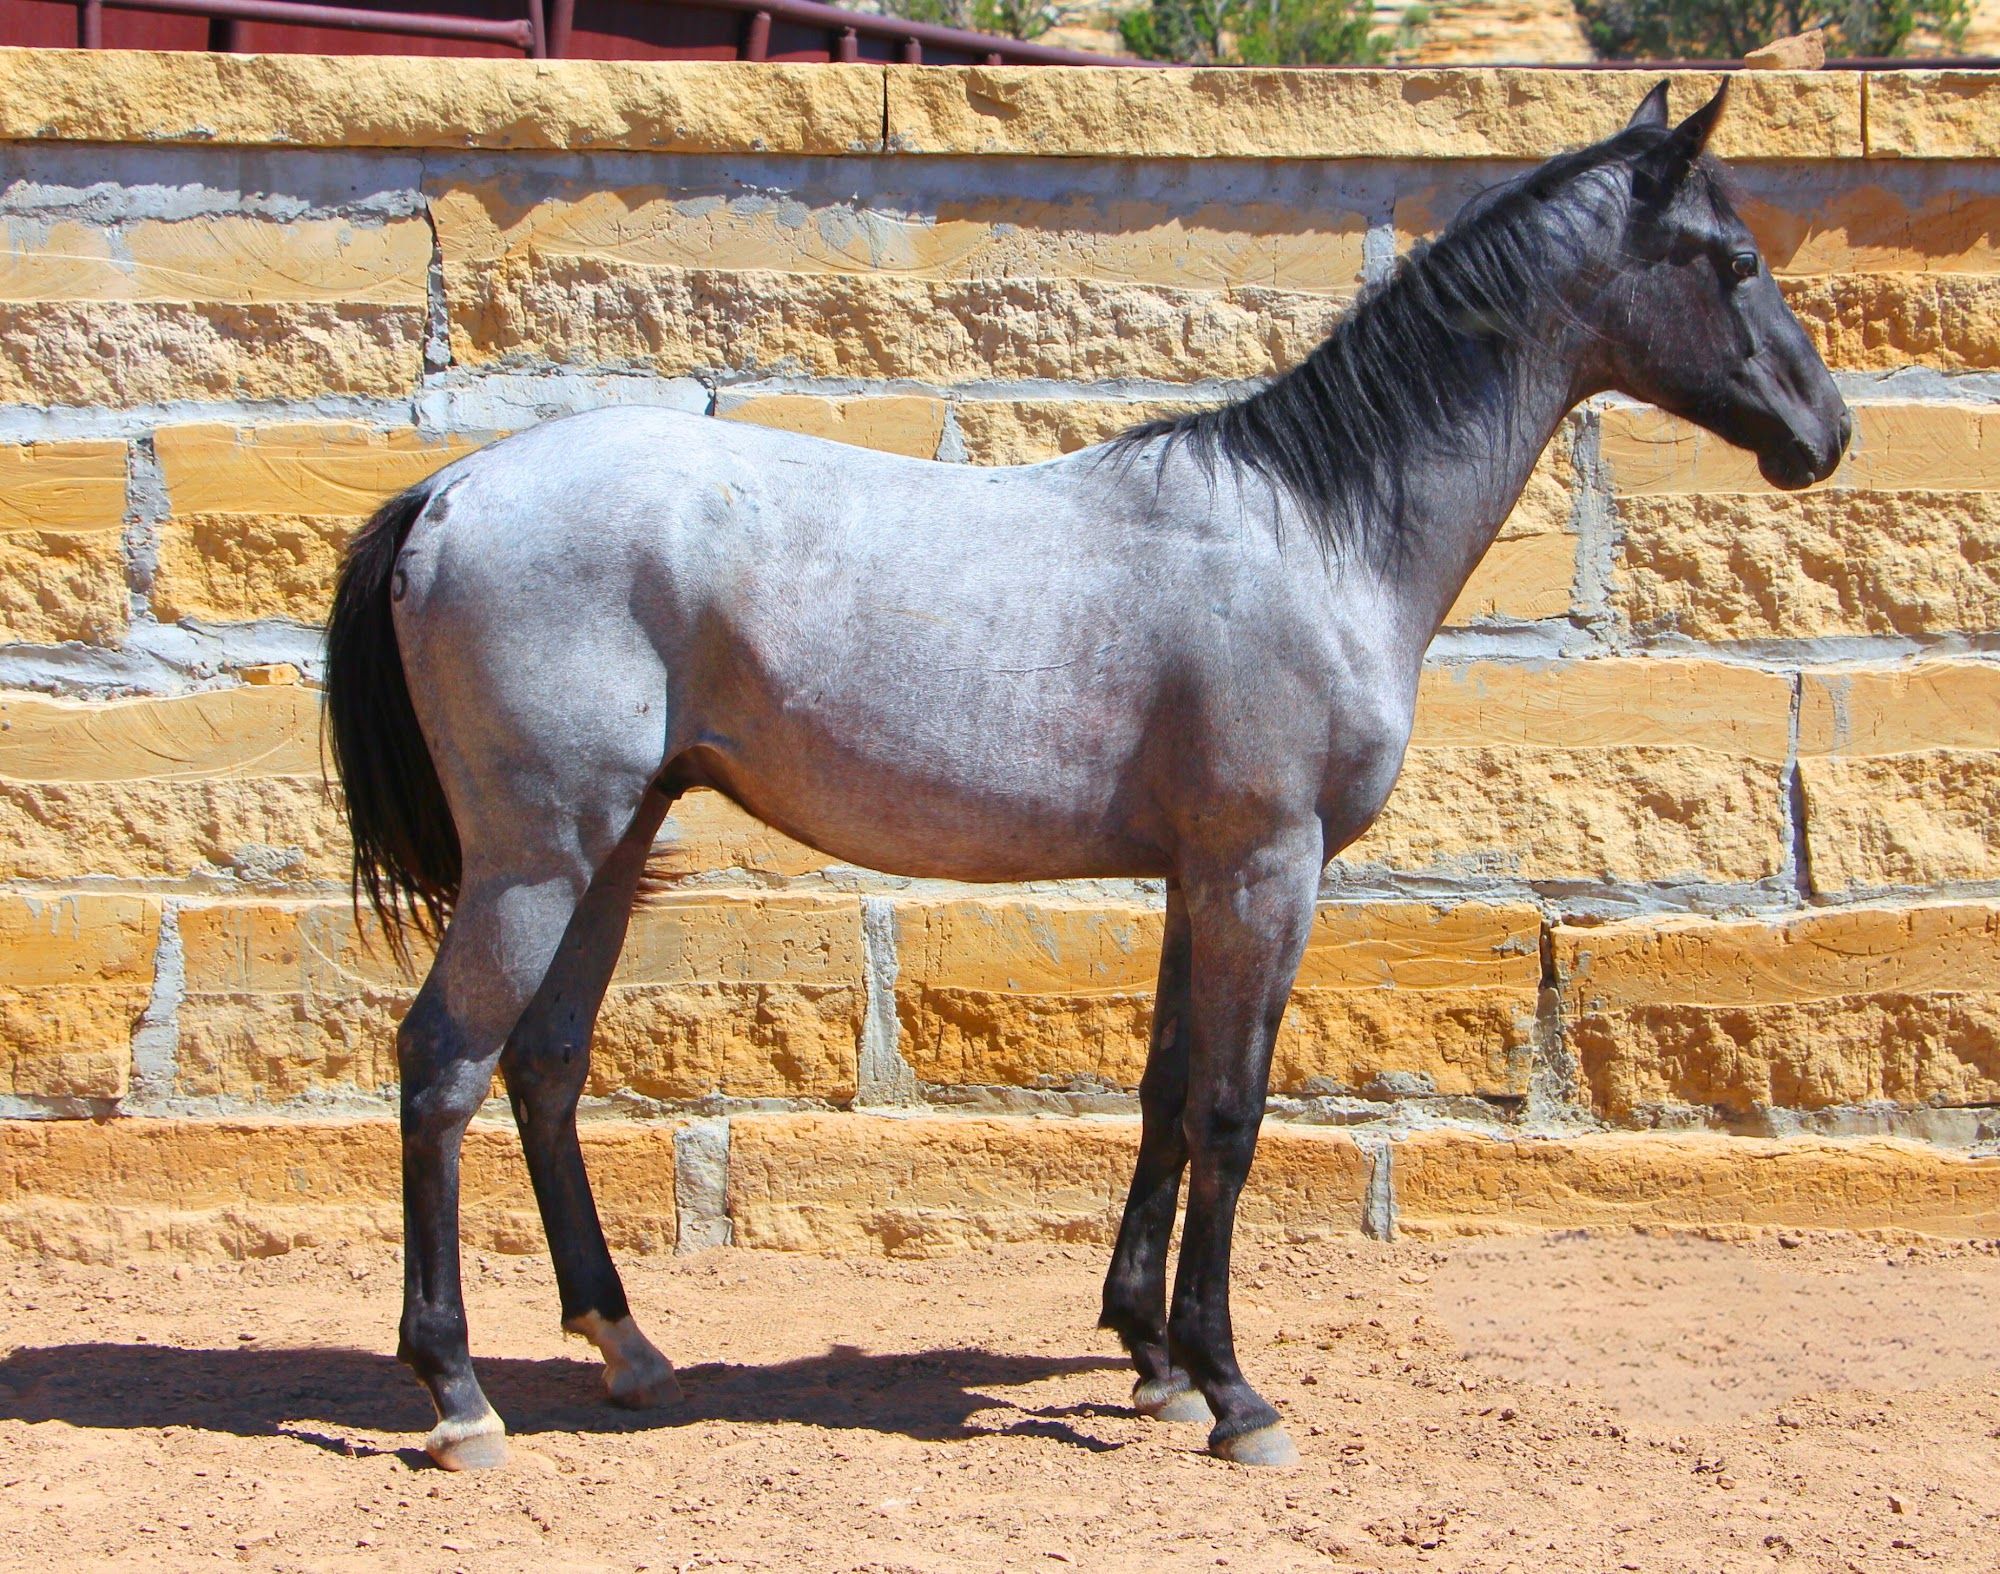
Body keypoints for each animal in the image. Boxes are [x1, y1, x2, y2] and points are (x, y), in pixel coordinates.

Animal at [323, 78, 1849, 1471]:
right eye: (1730, 259)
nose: (1826, 432)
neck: (1315, 532)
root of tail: (454, 490)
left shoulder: (1197, 876)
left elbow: (1166, 1093)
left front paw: (1151, 1354)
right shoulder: (1265, 868)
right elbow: (1232, 1112)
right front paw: (1233, 1391)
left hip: (615, 842)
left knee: (544, 1064)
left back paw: (627, 1345)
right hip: (536, 859)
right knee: (441, 1064)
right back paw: (458, 1396)